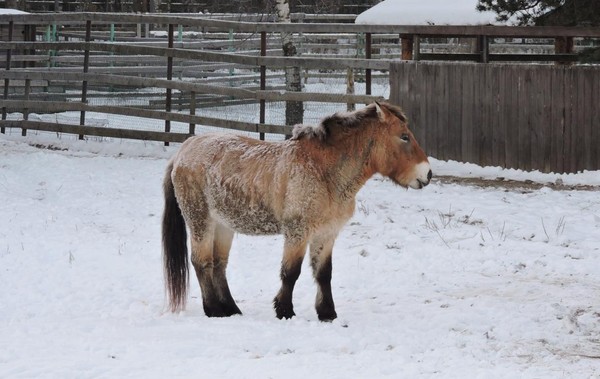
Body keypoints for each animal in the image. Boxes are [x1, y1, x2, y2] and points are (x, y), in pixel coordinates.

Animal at [161, 102, 432, 322]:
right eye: (404, 137)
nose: (427, 174)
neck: (325, 173)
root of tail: (182, 151)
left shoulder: (327, 234)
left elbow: (323, 274)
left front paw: (327, 313)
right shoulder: (297, 232)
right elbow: (291, 273)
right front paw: (284, 311)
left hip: (223, 225)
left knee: (219, 265)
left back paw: (230, 308)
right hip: (200, 220)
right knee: (201, 262)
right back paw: (213, 310)